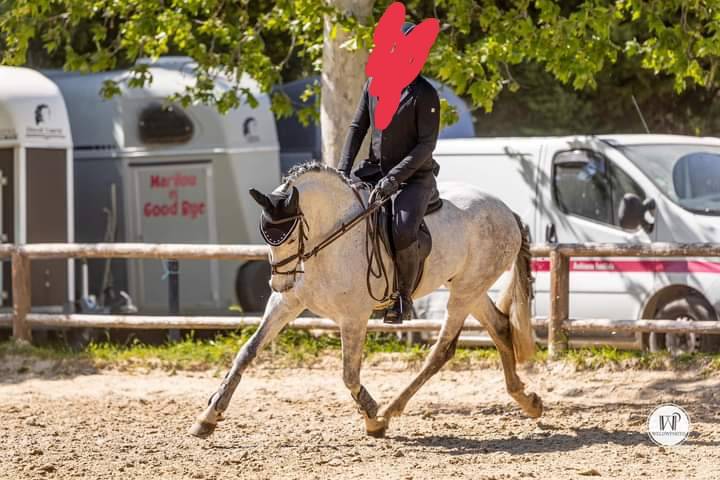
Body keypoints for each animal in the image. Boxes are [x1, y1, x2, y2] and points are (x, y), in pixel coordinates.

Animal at [189, 162, 543, 438]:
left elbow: (349, 373)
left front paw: (372, 417)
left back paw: (390, 409)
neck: (329, 239)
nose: (280, 282)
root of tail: (506, 210)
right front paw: (209, 416)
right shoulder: (286, 304)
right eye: (265, 234)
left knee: (441, 351)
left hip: (464, 292)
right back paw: (527, 399)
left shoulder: (354, 317)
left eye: (290, 235)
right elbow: (247, 353)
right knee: (499, 326)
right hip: (470, 288)